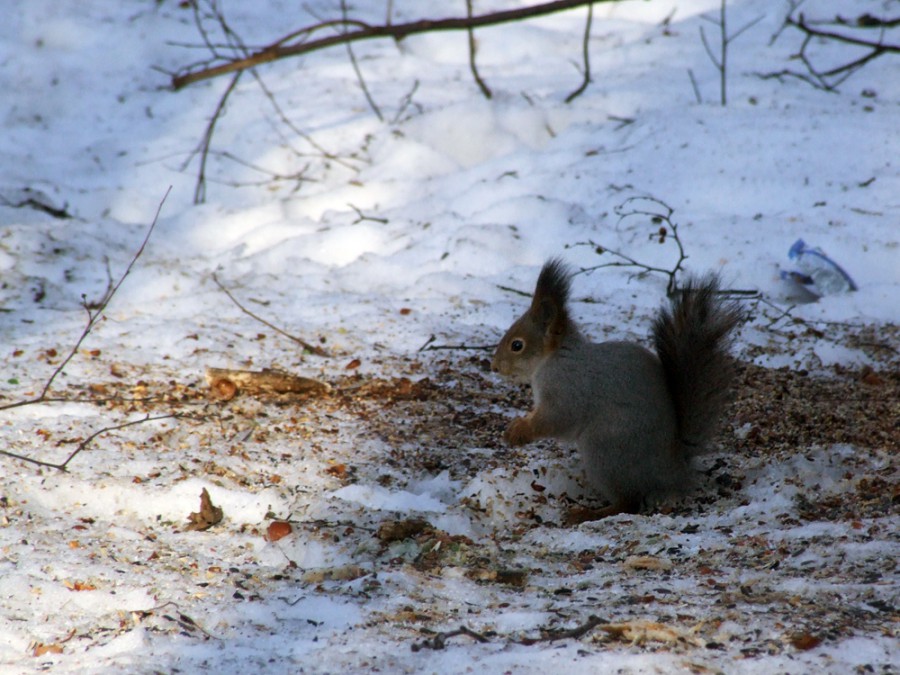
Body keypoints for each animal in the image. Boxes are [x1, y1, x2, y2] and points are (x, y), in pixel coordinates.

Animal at [492, 258, 740, 524]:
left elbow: (556, 419)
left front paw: (519, 432)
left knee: (628, 502)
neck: (555, 358)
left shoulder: (567, 389)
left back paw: (586, 513)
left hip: (604, 452)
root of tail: (673, 469)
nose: (493, 366)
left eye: (517, 345)